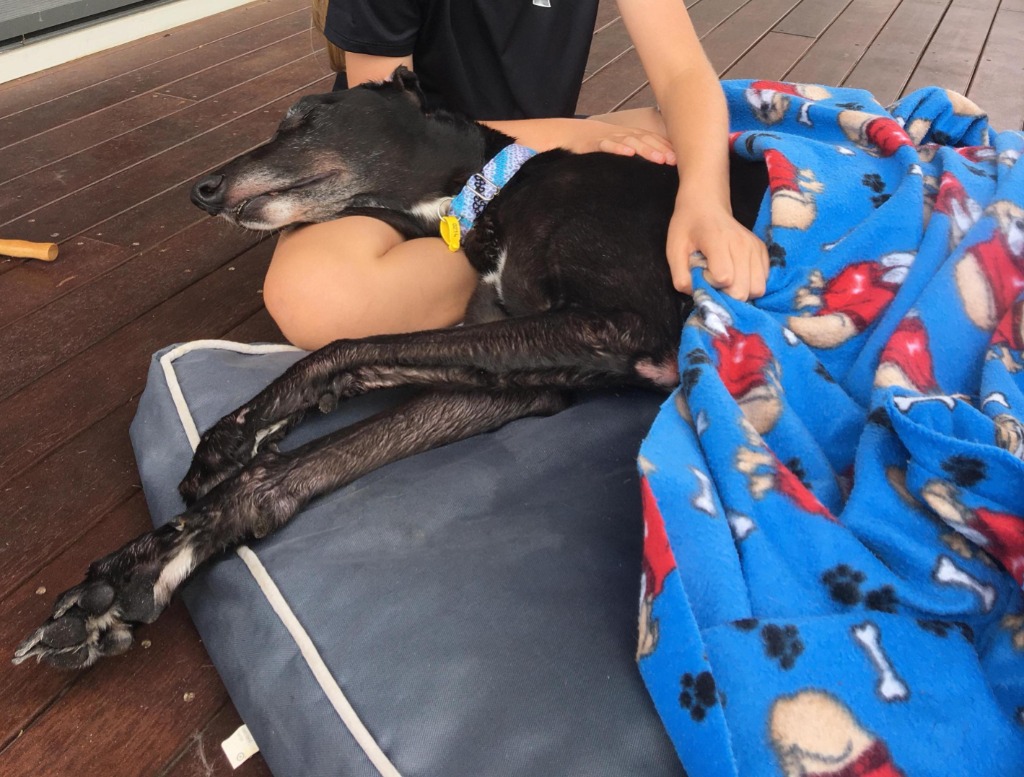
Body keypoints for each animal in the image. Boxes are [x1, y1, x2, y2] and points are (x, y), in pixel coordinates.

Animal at [15, 67, 768, 669]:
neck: (492, 193)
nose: (202, 190)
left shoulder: (620, 325)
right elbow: (316, 448)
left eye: (303, 118)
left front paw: (237, 431)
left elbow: (350, 347)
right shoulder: (530, 377)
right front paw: (140, 570)